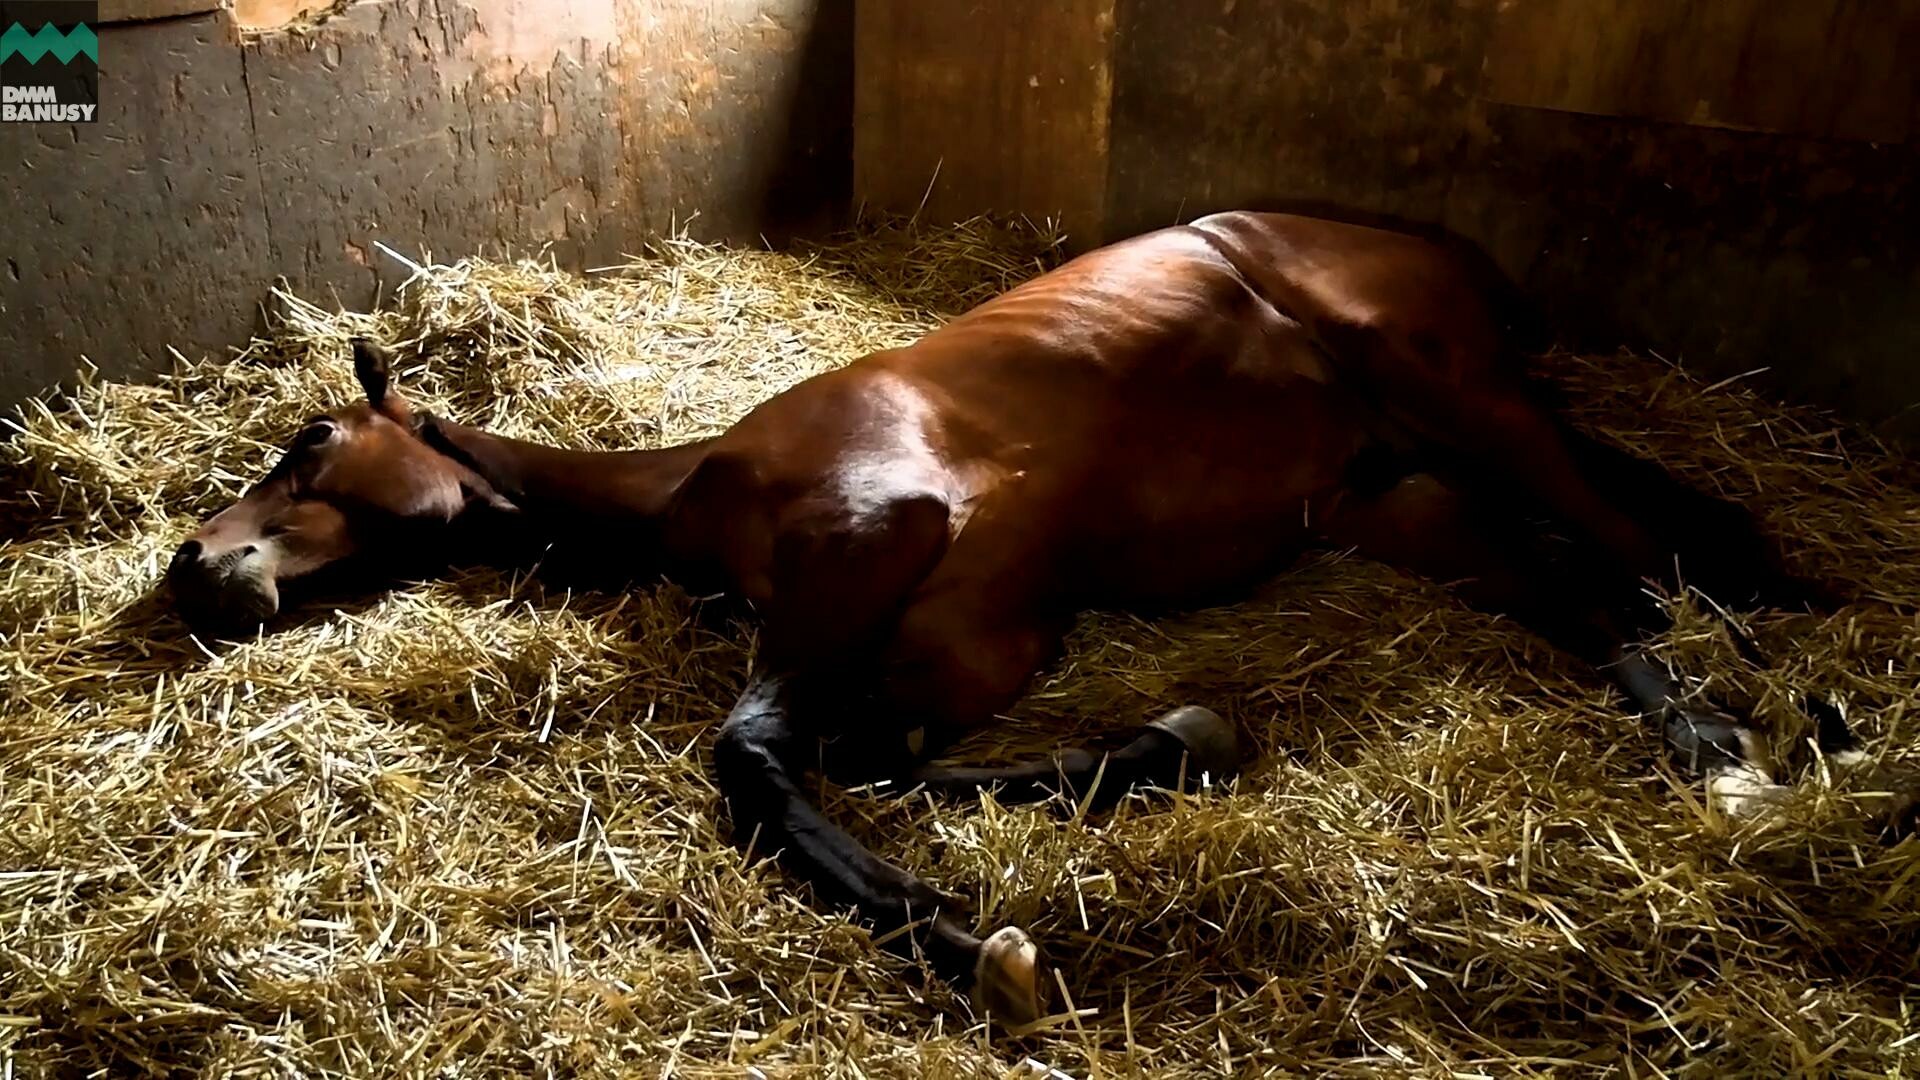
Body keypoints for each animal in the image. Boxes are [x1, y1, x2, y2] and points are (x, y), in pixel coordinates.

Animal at [165, 208, 1873, 1014]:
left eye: (307, 440)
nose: (189, 566)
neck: (704, 488)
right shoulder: (974, 649)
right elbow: (890, 755)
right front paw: (1173, 743)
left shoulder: (882, 531)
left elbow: (753, 755)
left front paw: (952, 932)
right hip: (1401, 492)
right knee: (1590, 593)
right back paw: (1730, 742)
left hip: (1459, 400)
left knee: (1639, 560)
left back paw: (1787, 726)